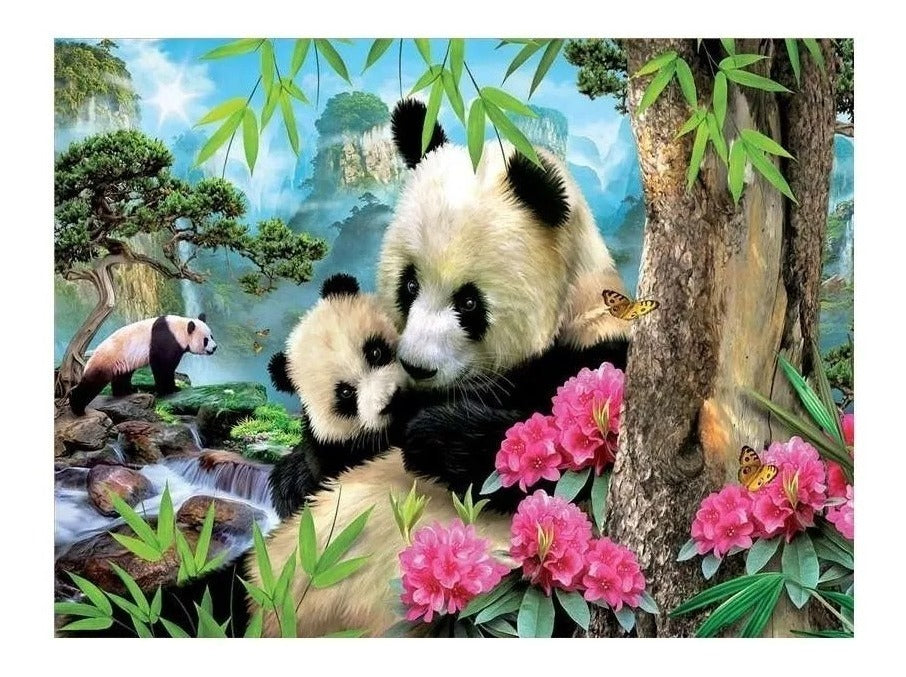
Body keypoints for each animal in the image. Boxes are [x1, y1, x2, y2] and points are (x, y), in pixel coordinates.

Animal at [69, 314, 216, 416]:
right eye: (205, 340)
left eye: (212, 336)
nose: (214, 348)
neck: (179, 328)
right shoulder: (165, 340)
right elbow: (162, 366)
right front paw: (172, 389)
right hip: (106, 359)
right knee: (93, 382)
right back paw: (77, 407)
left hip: (122, 361)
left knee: (122, 376)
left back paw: (127, 392)